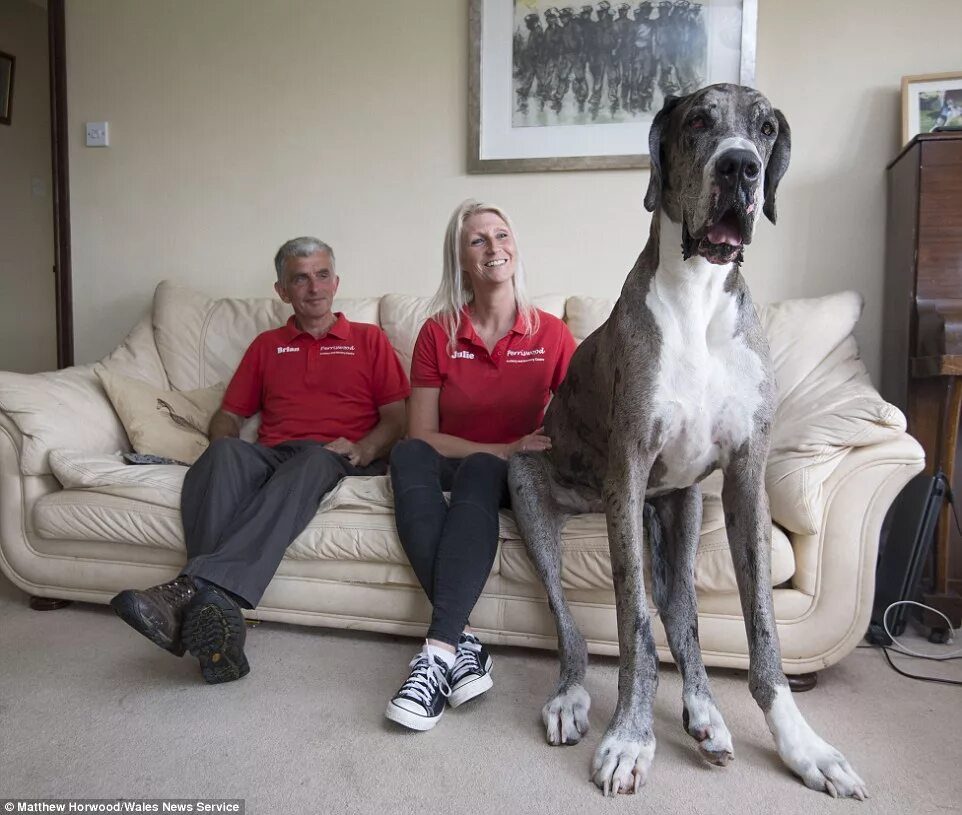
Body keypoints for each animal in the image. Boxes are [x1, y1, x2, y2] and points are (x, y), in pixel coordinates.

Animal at [506, 84, 868, 804]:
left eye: (765, 129)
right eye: (698, 121)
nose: (740, 167)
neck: (697, 295)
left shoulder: (744, 477)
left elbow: (760, 625)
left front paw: (802, 743)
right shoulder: (626, 475)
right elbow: (633, 623)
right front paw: (629, 736)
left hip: (683, 508)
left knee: (684, 616)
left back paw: (705, 712)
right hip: (533, 484)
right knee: (577, 625)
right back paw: (572, 698)